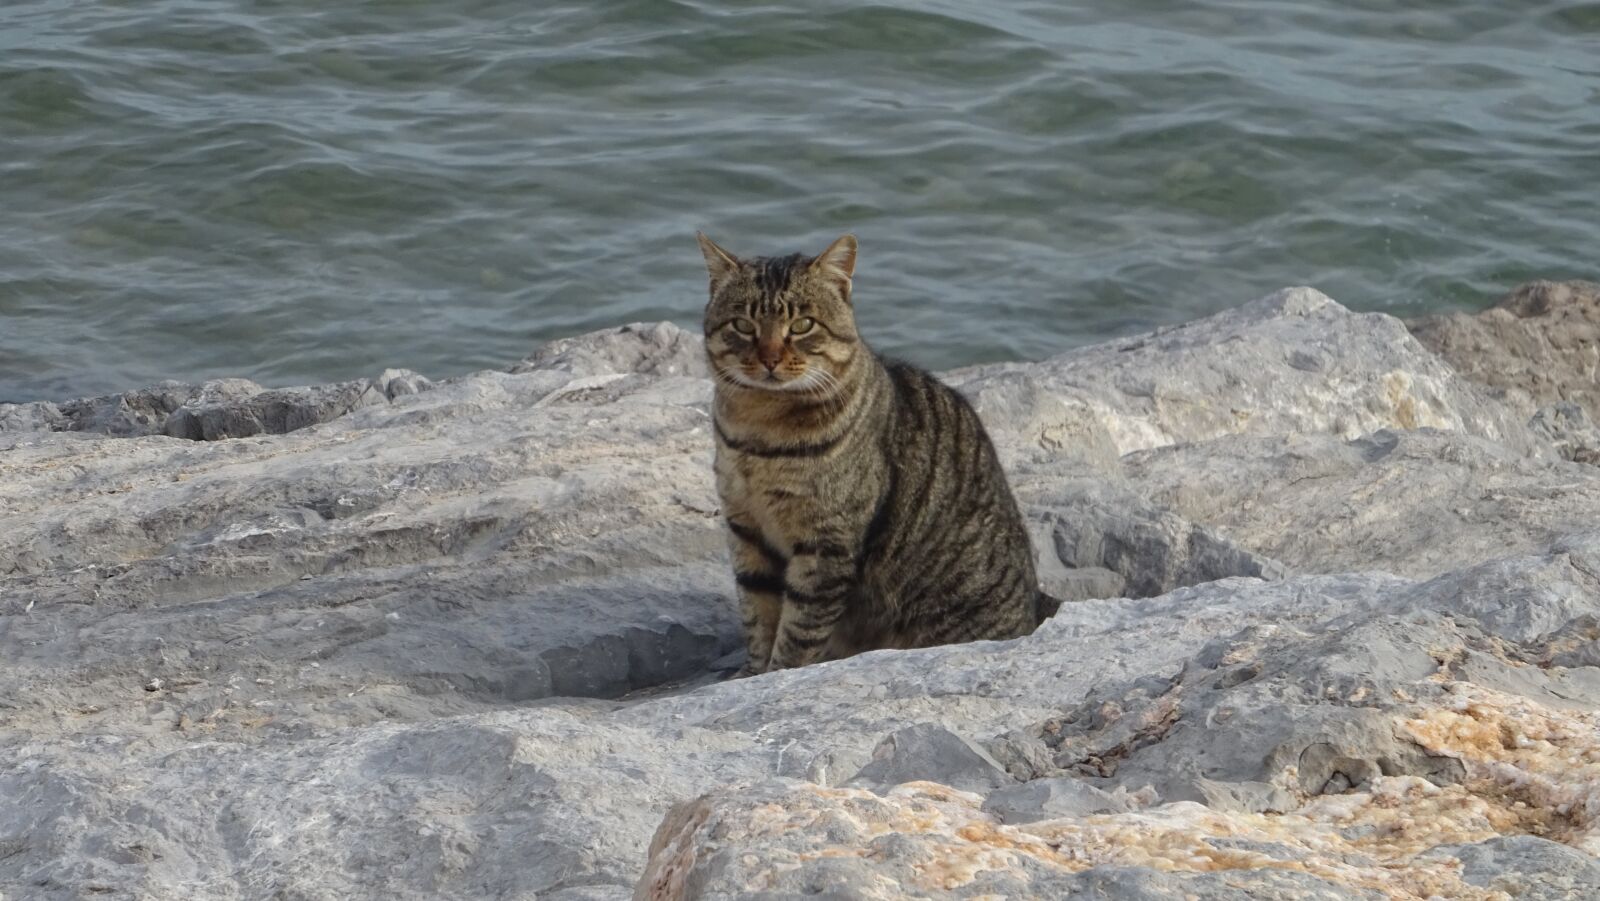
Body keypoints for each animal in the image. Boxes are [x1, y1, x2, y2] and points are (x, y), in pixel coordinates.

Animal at [694, 232, 1056, 678]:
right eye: (743, 325)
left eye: (802, 325)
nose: (769, 359)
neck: (759, 429)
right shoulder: (745, 528)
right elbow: (757, 613)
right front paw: (753, 672)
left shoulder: (827, 544)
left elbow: (798, 632)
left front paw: (776, 672)